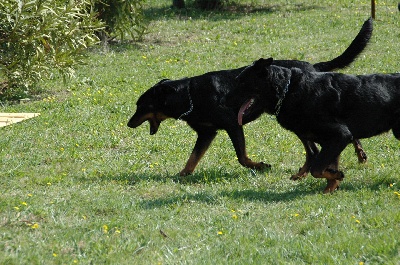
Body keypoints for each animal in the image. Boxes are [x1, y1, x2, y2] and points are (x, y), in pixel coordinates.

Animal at [127, 17, 372, 176]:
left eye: (140, 106)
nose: (128, 123)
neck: (190, 97)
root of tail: (313, 67)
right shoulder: (207, 133)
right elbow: (193, 158)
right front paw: (182, 175)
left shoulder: (232, 125)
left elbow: (242, 157)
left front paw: (260, 166)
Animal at [225, 57, 400, 193]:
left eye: (242, 82)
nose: (223, 100)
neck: (288, 91)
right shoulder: (330, 142)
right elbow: (323, 168)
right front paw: (330, 188)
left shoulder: (340, 135)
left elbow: (317, 168)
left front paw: (337, 176)